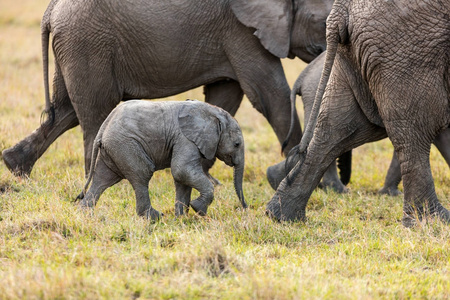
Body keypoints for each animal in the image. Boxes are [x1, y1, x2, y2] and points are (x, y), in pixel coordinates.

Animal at [1, 0, 334, 176]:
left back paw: (15, 167)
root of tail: (50, 10)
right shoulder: (242, 32)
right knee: (95, 112)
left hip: (75, 48)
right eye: (323, 22)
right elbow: (270, 96)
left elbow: (224, 97)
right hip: (87, 45)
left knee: (64, 112)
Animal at [76, 99, 246, 219]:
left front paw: (182, 219)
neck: (212, 112)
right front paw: (198, 210)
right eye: (237, 144)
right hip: (125, 145)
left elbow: (182, 179)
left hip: (113, 149)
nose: (245, 208)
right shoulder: (185, 139)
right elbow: (181, 170)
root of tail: (104, 127)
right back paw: (155, 217)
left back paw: (85, 215)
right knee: (142, 174)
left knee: (103, 179)